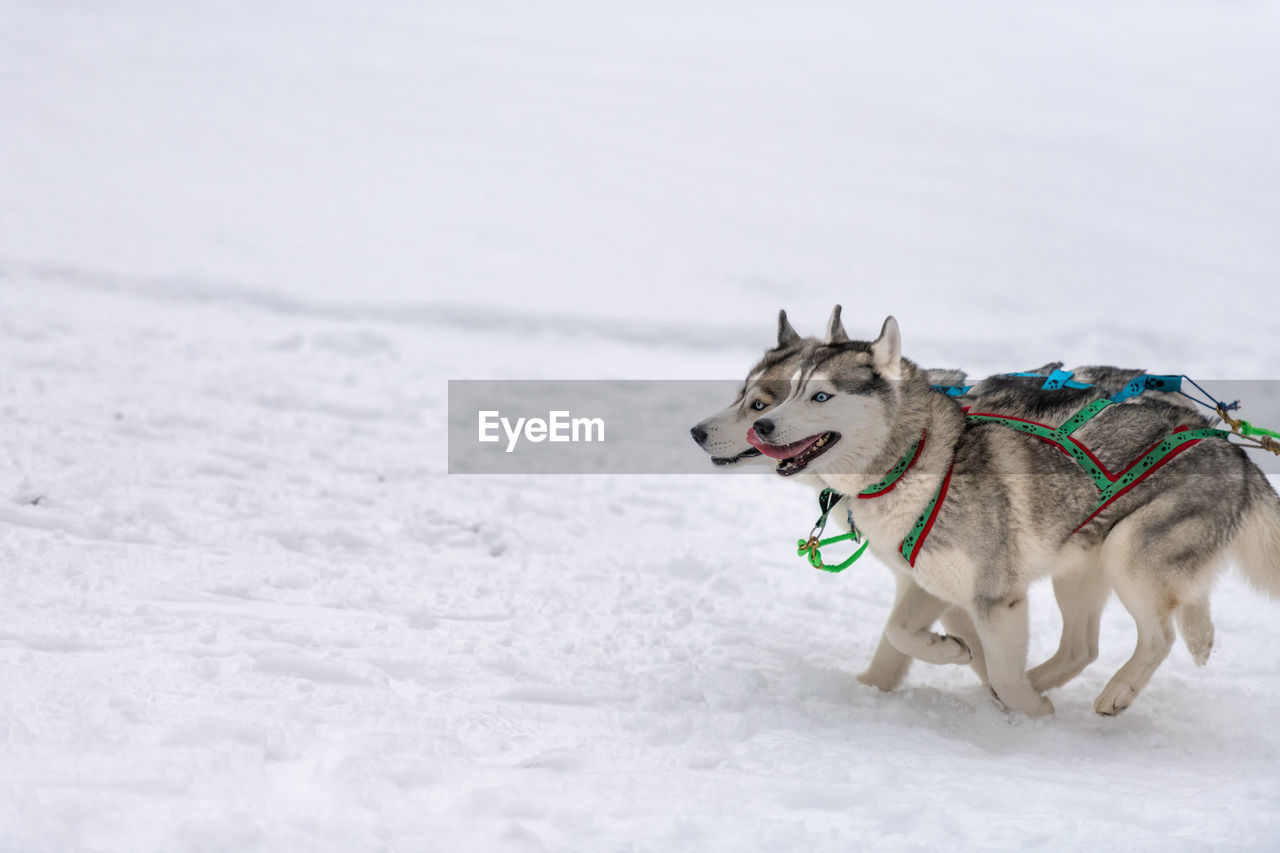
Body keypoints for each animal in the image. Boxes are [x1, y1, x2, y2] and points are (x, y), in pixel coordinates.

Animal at [747, 306, 1280, 712]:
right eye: (787, 393)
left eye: (821, 395)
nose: (762, 427)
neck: (920, 462)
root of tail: (1229, 446)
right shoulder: (931, 580)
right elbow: (899, 632)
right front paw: (943, 658)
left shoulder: (995, 596)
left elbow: (994, 667)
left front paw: (1028, 719)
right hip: (1081, 567)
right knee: (1086, 645)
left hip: (1128, 554)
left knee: (1157, 636)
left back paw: (1114, 692)